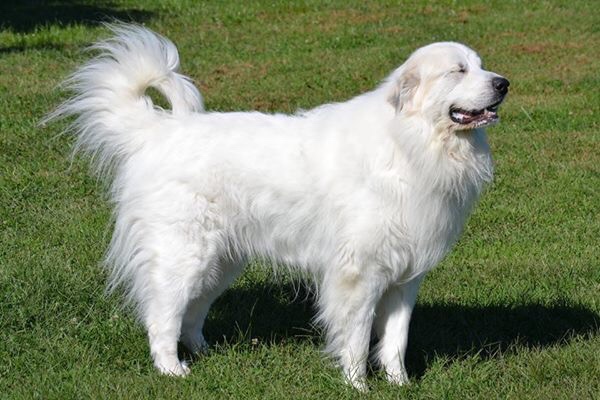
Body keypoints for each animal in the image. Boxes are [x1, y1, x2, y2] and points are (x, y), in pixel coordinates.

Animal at [47, 24, 508, 390]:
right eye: (458, 70)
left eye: (480, 66)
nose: (503, 83)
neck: (411, 142)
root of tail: (158, 130)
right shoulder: (359, 274)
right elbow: (358, 338)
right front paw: (358, 386)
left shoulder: (404, 275)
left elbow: (396, 339)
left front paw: (401, 385)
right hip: (185, 254)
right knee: (162, 315)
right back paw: (172, 370)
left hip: (222, 262)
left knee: (192, 313)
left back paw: (206, 353)